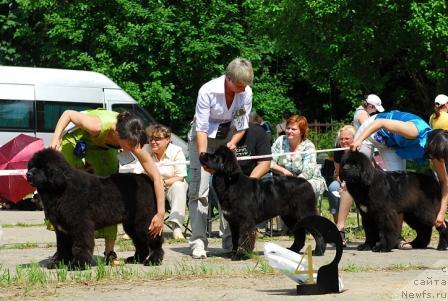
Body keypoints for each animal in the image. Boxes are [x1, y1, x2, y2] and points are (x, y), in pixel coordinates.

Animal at [26, 148, 164, 268]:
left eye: (42, 167)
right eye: (31, 166)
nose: (28, 174)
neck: (61, 190)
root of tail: (147, 179)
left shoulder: (81, 225)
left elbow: (80, 246)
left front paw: (78, 264)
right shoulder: (62, 230)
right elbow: (62, 248)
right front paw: (59, 263)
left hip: (145, 221)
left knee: (155, 242)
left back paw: (153, 260)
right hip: (131, 224)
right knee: (141, 243)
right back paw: (136, 259)